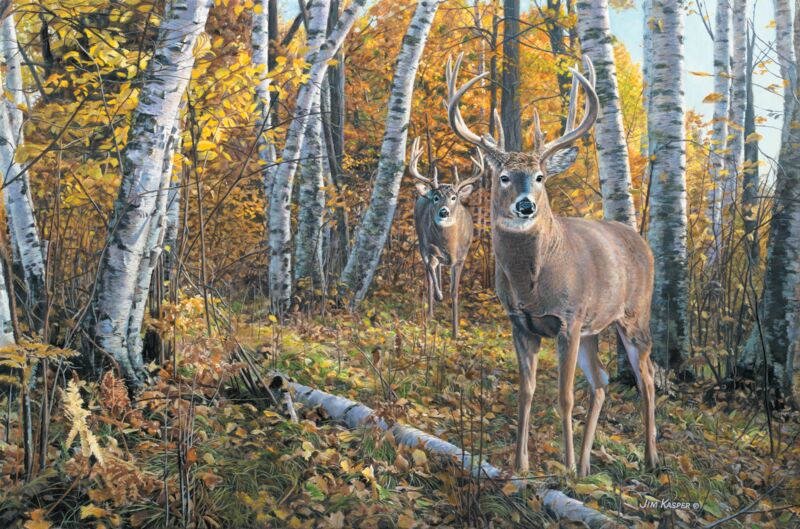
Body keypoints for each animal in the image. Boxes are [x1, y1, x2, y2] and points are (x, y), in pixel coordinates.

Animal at [409, 136, 484, 338]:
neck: (449, 244)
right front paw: (439, 295)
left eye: (453, 197)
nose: (443, 212)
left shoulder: (461, 257)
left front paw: (455, 333)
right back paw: (430, 314)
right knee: (430, 274)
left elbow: (455, 292)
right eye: (436, 198)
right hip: (421, 242)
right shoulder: (428, 247)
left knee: (437, 269)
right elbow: (431, 273)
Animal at [445, 53, 658, 477]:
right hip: (595, 328)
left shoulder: (568, 319)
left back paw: (650, 458)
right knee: (602, 381)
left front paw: (565, 467)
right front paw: (521, 464)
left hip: (634, 315)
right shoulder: (520, 323)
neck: (532, 286)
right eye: (504, 176)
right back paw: (589, 465)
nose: (526, 205)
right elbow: (525, 392)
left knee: (647, 376)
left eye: (541, 176)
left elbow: (563, 396)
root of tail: (642, 243)